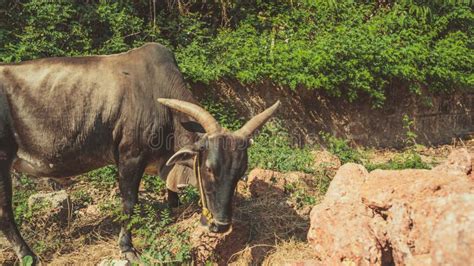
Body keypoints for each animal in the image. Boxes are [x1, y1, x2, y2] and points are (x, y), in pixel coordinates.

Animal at [0, 42, 280, 262]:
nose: (221, 225)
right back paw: (28, 255)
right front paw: (127, 247)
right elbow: (129, 203)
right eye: (209, 168)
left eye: (241, 171)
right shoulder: (130, 157)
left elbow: (171, 194)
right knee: (5, 213)